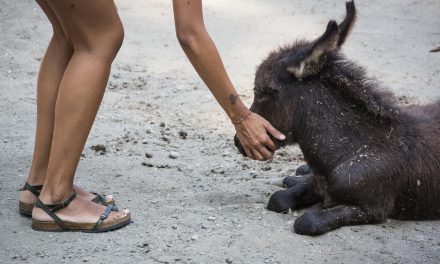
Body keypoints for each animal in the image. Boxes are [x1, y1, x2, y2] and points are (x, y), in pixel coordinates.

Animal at [235, 0, 438, 235]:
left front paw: (314, 206)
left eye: (263, 93)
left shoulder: (373, 209)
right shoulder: (318, 183)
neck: (348, 152)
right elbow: (278, 199)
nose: (237, 142)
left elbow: (307, 220)